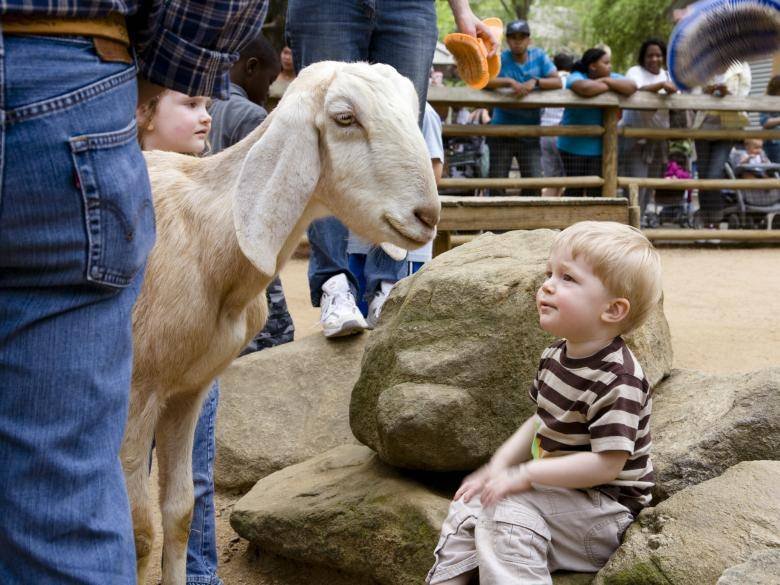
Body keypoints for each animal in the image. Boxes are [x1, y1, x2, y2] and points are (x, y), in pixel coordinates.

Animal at [123, 61, 438, 580]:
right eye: (345, 117)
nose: (428, 215)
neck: (202, 239)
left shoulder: (188, 391)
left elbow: (180, 512)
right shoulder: (134, 390)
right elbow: (137, 532)